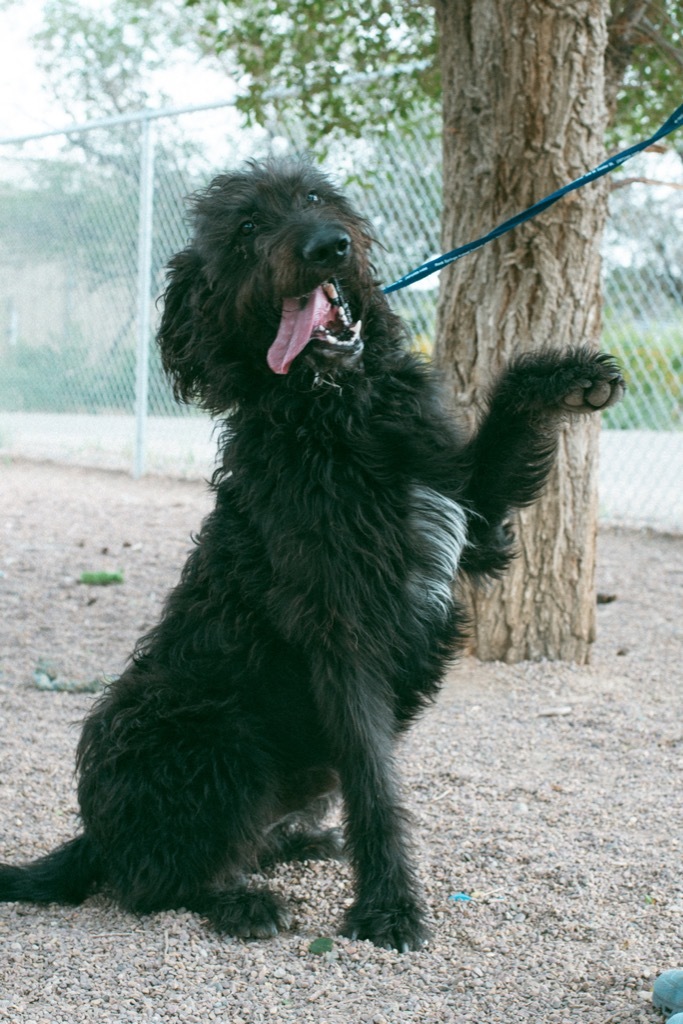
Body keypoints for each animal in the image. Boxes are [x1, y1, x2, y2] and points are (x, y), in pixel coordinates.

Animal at [0, 159, 626, 950]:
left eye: (315, 197)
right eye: (246, 227)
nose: (329, 246)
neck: (339, 411)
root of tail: (96, 838)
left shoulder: (472, 520)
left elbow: (507, 419)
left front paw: (564, 378)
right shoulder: (342, 632)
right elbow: (375, 783)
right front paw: (388, 907)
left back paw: (294, 841)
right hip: (205, 730)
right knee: (152, 885)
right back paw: (240, 902)